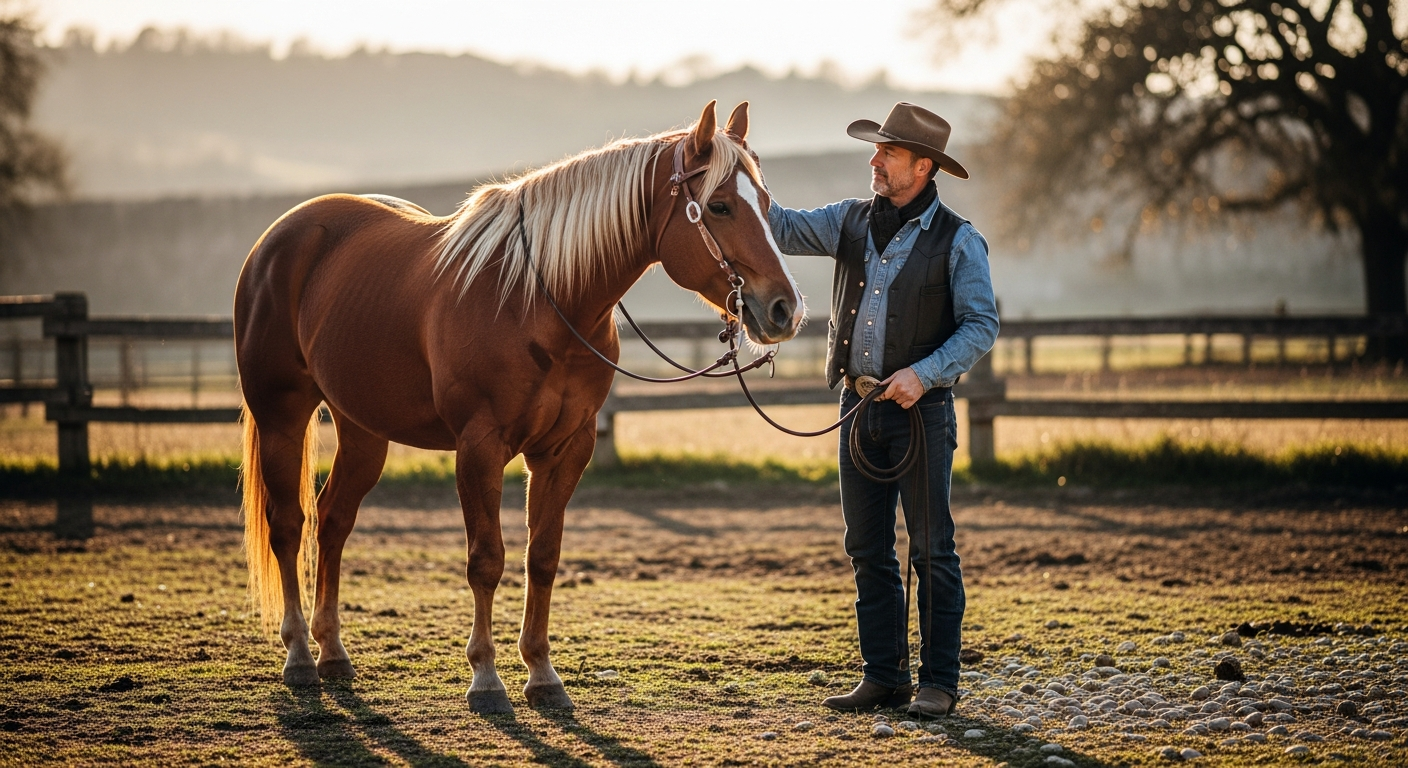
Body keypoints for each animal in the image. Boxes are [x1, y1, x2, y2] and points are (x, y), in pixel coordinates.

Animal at [234, 100, 804, 713]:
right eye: (719, 206)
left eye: (766, 204)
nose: (784, 309)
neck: (540, 302)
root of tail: (277, 240)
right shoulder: (479, 447)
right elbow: (487, 560)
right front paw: (486, 677)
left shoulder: (566, 448)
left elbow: (542, 557)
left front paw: (542, 673)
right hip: (281, 416)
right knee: (287, 524)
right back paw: (299, 655)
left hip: (364, 430)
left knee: (334, 520)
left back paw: (333, 653)